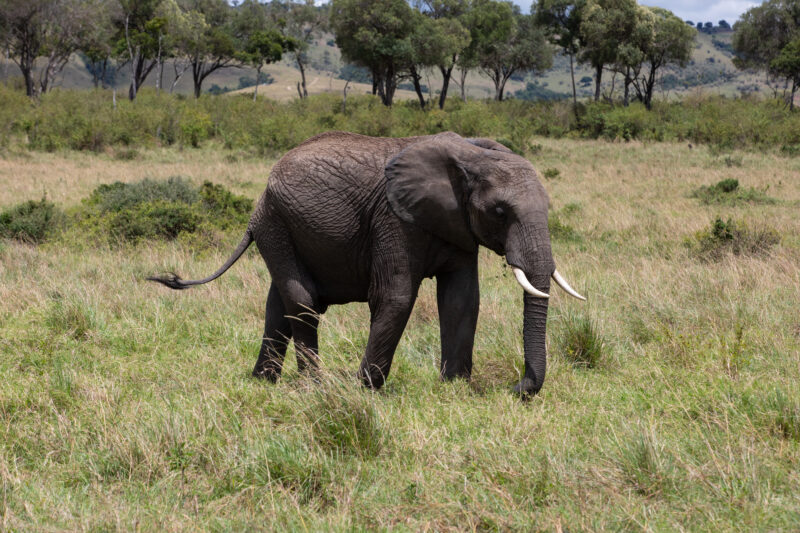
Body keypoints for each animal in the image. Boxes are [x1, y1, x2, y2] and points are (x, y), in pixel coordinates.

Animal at [148, 131, 585, 395]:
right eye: (499, 212)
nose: (516, 388)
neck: (470, 154)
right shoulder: (393, 219)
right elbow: (395, 296)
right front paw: (367, 389)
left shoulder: (457, 225)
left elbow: (462, 299)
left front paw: (454, 387)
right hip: (276, 222)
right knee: (302, 300)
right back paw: (315, 387)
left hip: (280, 226)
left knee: (278, 304)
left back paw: (264, 383)